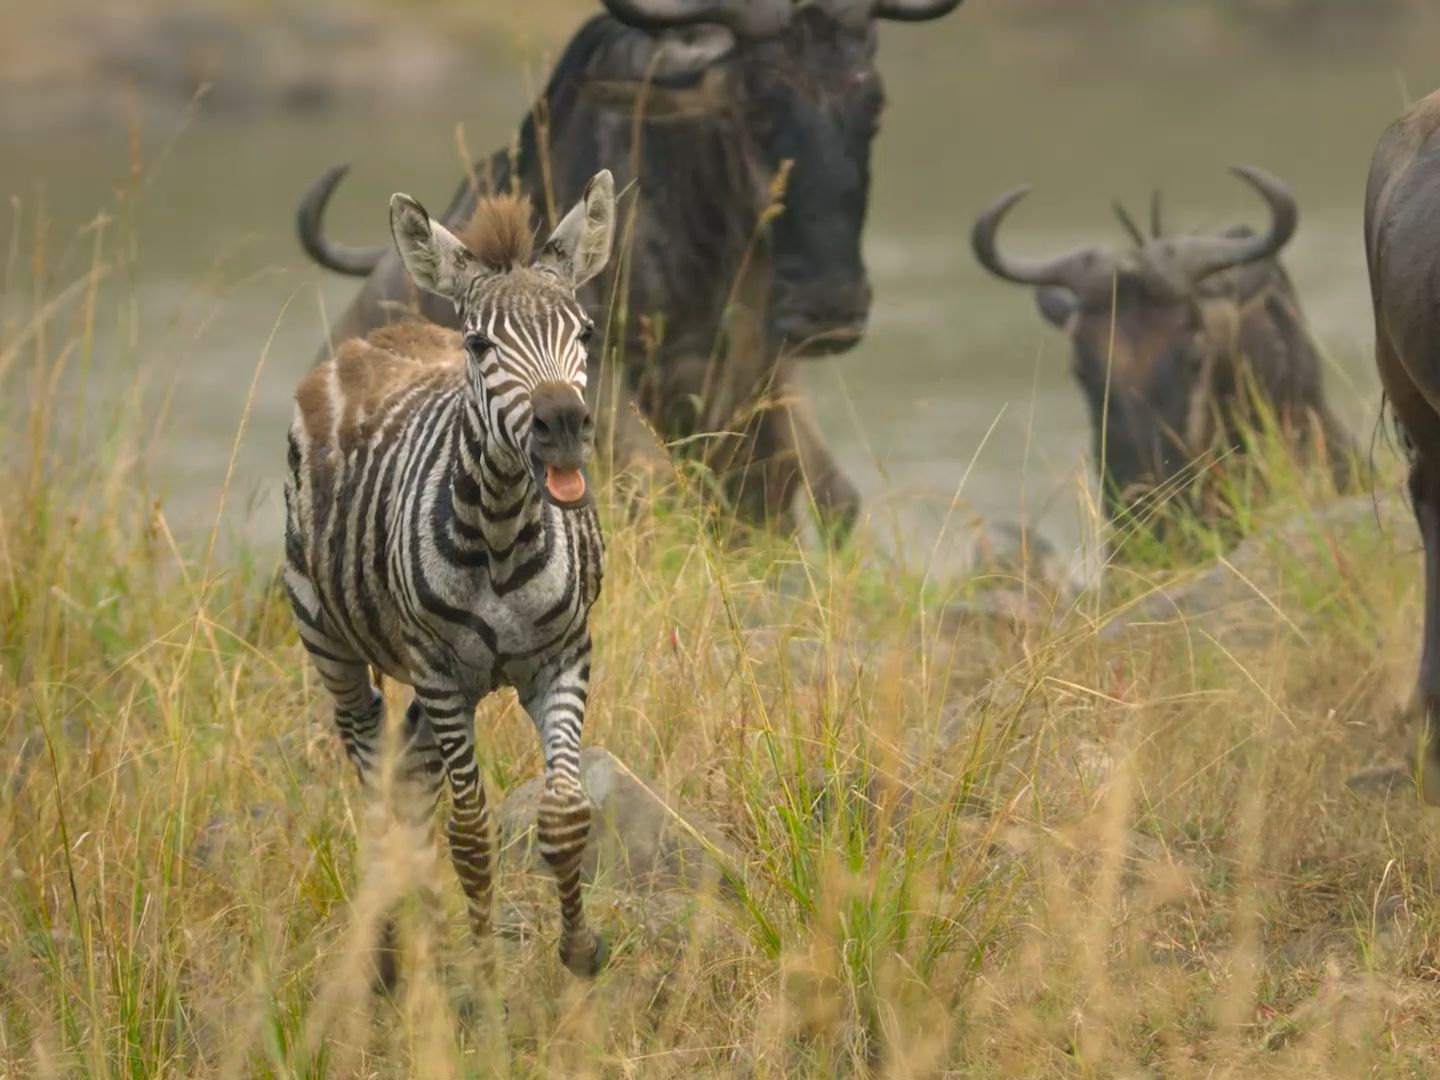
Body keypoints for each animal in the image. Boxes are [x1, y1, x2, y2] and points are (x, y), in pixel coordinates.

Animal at [283, 171, 616, 979]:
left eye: (584, 333)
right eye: (480, 342)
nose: (563, 425)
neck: (500, 534)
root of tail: (384, 333)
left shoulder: (564, 657)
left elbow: (564, 814)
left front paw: (578, 947)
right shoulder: (438, 674)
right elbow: (469, 831)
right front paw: (486, 967)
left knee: (408, 777)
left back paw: (414, 928)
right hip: (331, 639)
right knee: (373, 765)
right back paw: (387, 952)